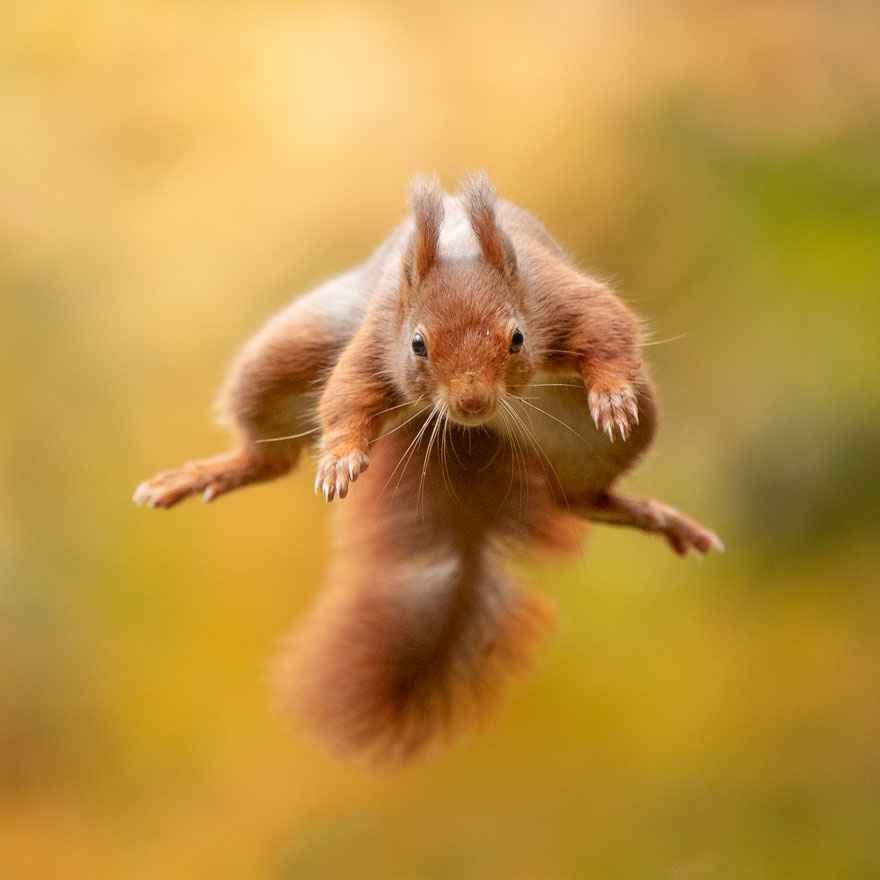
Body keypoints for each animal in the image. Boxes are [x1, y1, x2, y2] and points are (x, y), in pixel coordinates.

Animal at [133, 172, 723, 768]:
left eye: (517, 338)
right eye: (418, 343)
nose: (472, 402)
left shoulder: (560, 298)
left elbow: (608, 328)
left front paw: (611, 393)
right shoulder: (378, 336)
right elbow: (345, 396)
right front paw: (340, 457)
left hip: (597, 438)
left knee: (578, 498)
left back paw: (650, 514)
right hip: (280, 358)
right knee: (268, 456)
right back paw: (215, 471)